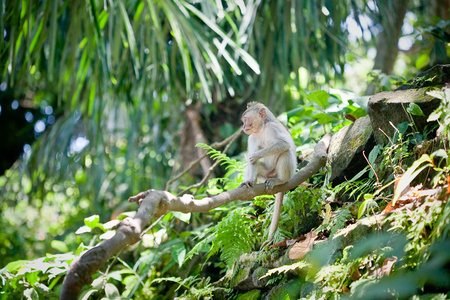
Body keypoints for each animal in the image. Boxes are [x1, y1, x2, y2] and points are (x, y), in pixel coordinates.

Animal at [237, 102, 298, 243]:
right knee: (257, 166)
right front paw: (249, 181)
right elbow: (252, 162)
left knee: (285, 152)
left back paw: (279, 180)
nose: (243, 126)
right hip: (265, 174)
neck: (261, 130)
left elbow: (284, 144)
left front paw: (257, 154)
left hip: (287, 173)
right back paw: (252, 181)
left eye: (246, 120)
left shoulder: (272, 128)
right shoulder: (252, 137)